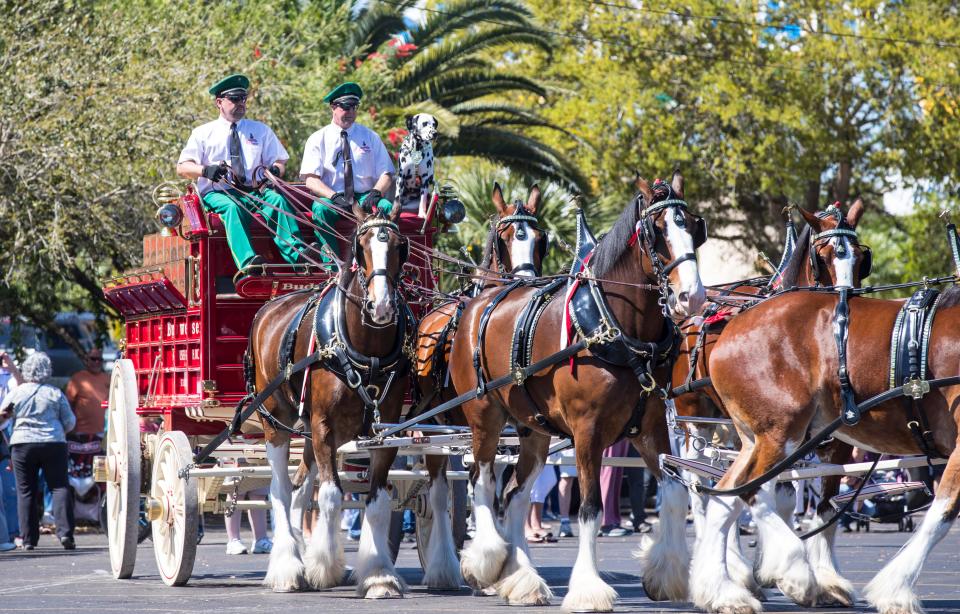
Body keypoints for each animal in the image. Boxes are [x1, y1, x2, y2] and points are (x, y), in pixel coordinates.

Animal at [248, 205, 412, 600]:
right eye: (361, 248)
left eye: (400, 247)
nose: (382, 307)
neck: (366, 352)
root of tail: (269, 307)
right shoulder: (324, 426)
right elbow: (332, 496)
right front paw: (324, 566)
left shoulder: (385, 432)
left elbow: (377, 500)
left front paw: (379, 575)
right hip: (275, 421)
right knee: (280, 490)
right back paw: (287, 567)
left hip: (309, 432)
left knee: (297, 490)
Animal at [450, 173, 704, 612]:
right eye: (656, 232)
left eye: (693, 226)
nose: (693, 296)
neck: (615, 328)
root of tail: (480, 301)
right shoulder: (589, 432)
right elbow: (589, 509)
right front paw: (588, 588)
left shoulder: (650, 426)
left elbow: (674, 492)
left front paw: (666, 574)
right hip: (485, 417)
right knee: (481, 479)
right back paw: (486, 560)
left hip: (534, 429)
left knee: (515, 494)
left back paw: (523, 580)